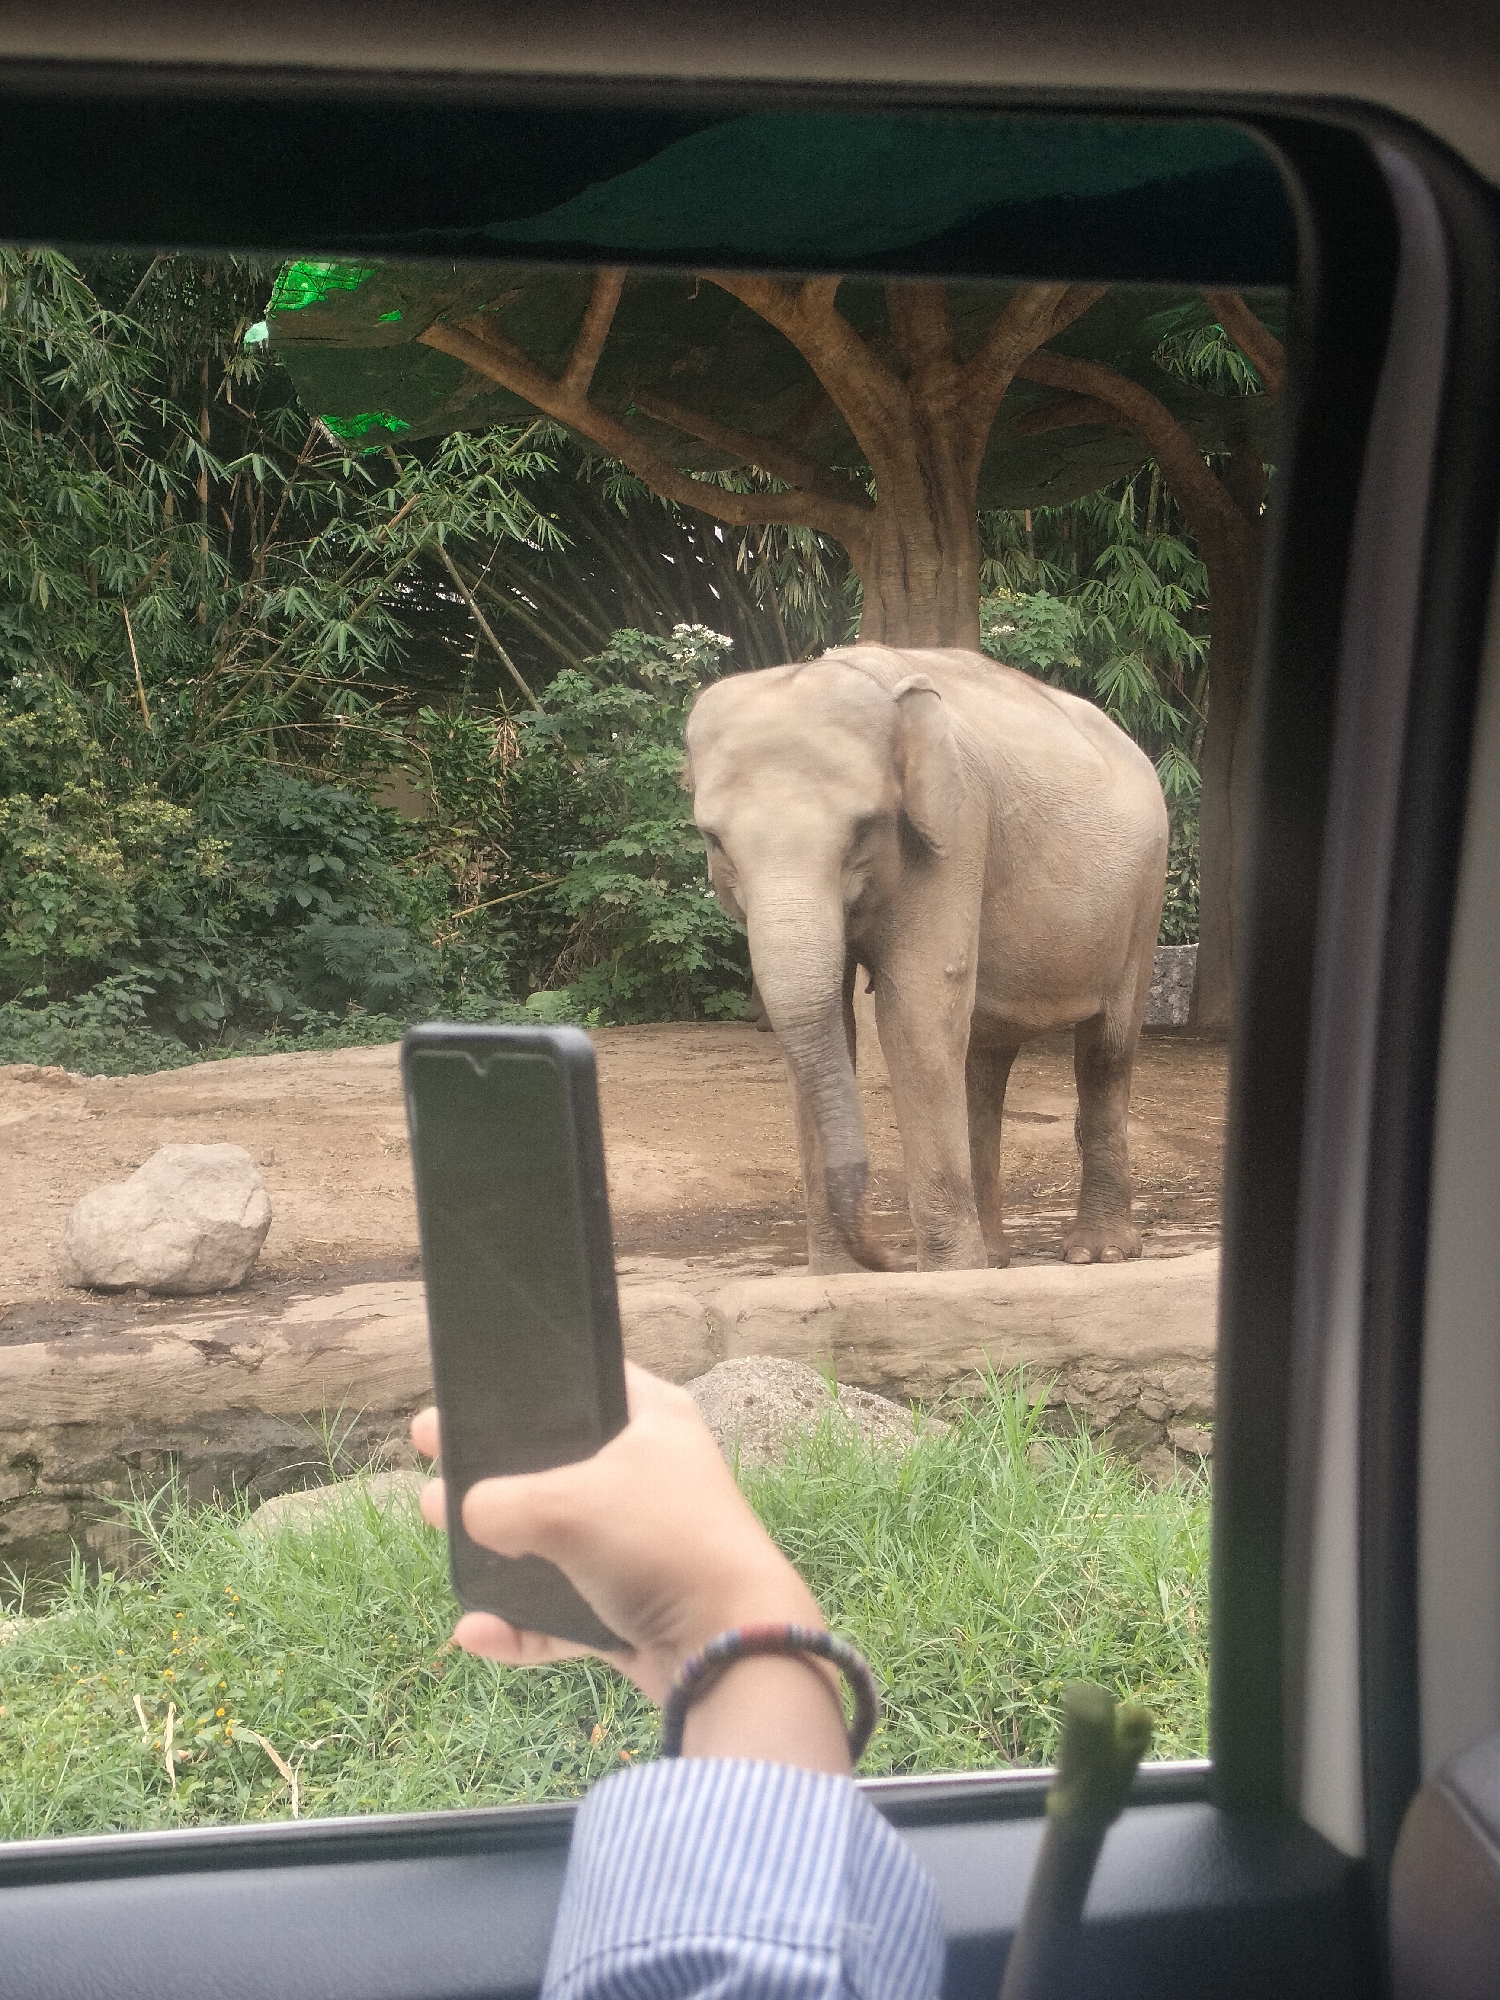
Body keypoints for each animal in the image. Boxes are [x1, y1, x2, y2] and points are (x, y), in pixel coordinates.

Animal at [684, 645, 1169, 1274]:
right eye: (714, 841)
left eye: (864, 827)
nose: (888, 1259)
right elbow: (834, 1025)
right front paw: (835, 1277)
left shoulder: (956, 833)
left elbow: (916, 1013)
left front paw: (945, 1274)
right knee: (983, 1062)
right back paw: (995, 1259)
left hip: (1145, 895)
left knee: (1106, 1050)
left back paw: (1097, 1254)